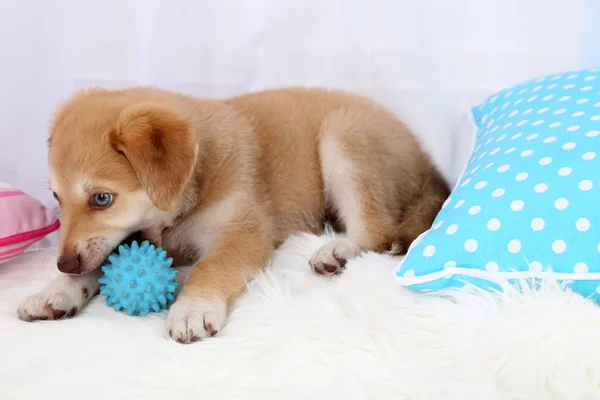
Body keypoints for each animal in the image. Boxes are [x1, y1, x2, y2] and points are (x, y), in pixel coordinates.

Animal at [16, 86, 450, 342]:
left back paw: (337, 250)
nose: (64, 263)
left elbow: (212, 267)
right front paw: (56, 290)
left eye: (102, 199)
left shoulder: (243, 232)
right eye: (56, 197)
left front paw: (192, 308)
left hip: (344, 139)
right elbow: (98, 263)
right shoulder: (127, 239)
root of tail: (426, 160)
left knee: (378, 230)